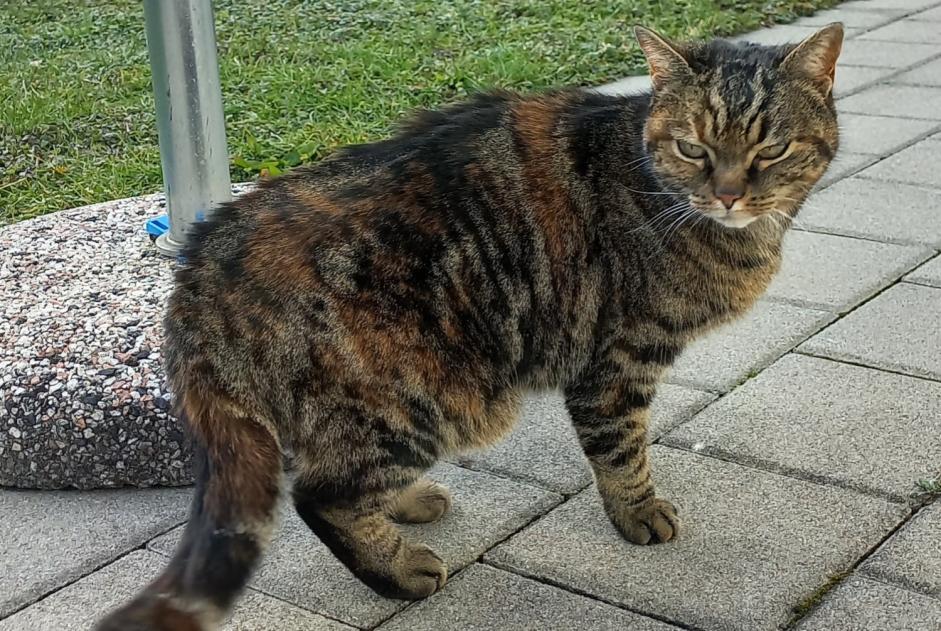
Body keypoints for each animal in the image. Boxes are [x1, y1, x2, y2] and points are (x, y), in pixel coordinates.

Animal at [97, 22, 844, 628]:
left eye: (771, 149)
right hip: (432, 397)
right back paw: (399, 570)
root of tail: (201, 259)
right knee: (322, 494)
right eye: (692, 149)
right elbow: (622, 449)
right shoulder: (616, 360)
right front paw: (638, 513)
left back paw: (404, 504)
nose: (728, 193)